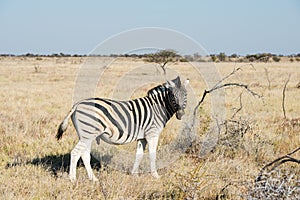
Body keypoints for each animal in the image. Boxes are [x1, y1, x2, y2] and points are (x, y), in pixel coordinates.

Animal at [56, 76, 188, 181]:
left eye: (185, 95)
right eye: (172, 96)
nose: (180, 114)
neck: (158, 108)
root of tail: (77, 104)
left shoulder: (142, 137)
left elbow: (139, 154)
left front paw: (134, 174)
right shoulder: (152, 134)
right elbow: (152, 154)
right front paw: (155, 176)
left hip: (86, 135)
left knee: (84, 155)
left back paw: (93, 179)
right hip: (88, 133)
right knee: (75, 152)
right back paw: (72, 179)